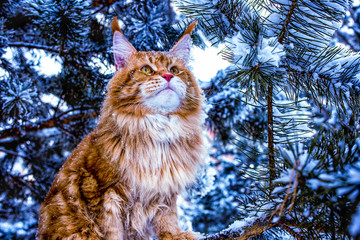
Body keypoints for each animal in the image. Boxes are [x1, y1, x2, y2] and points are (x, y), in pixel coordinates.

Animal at [37, 15, 207, 239]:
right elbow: (111, 230)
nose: (168, 77)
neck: (158, 131)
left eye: (174, 70)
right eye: (146, 70)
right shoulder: (100, 192)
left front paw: (174, 235)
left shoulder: (164, 191)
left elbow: (167, 219)